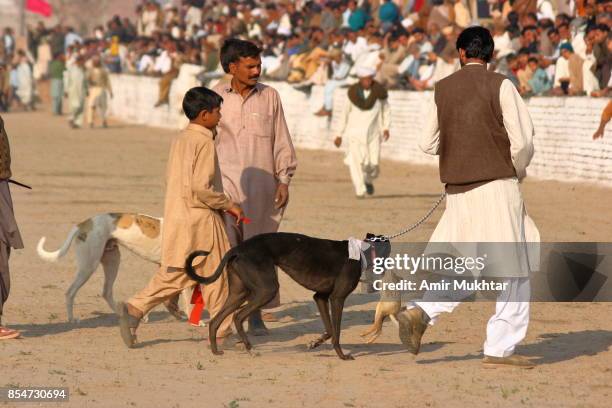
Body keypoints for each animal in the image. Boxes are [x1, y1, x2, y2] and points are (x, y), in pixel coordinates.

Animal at [38, 214, 191, 322]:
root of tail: (84, 223)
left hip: (112, 262)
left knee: (106, 292)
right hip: (89, 266)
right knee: (70, 292)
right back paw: (71, 319)